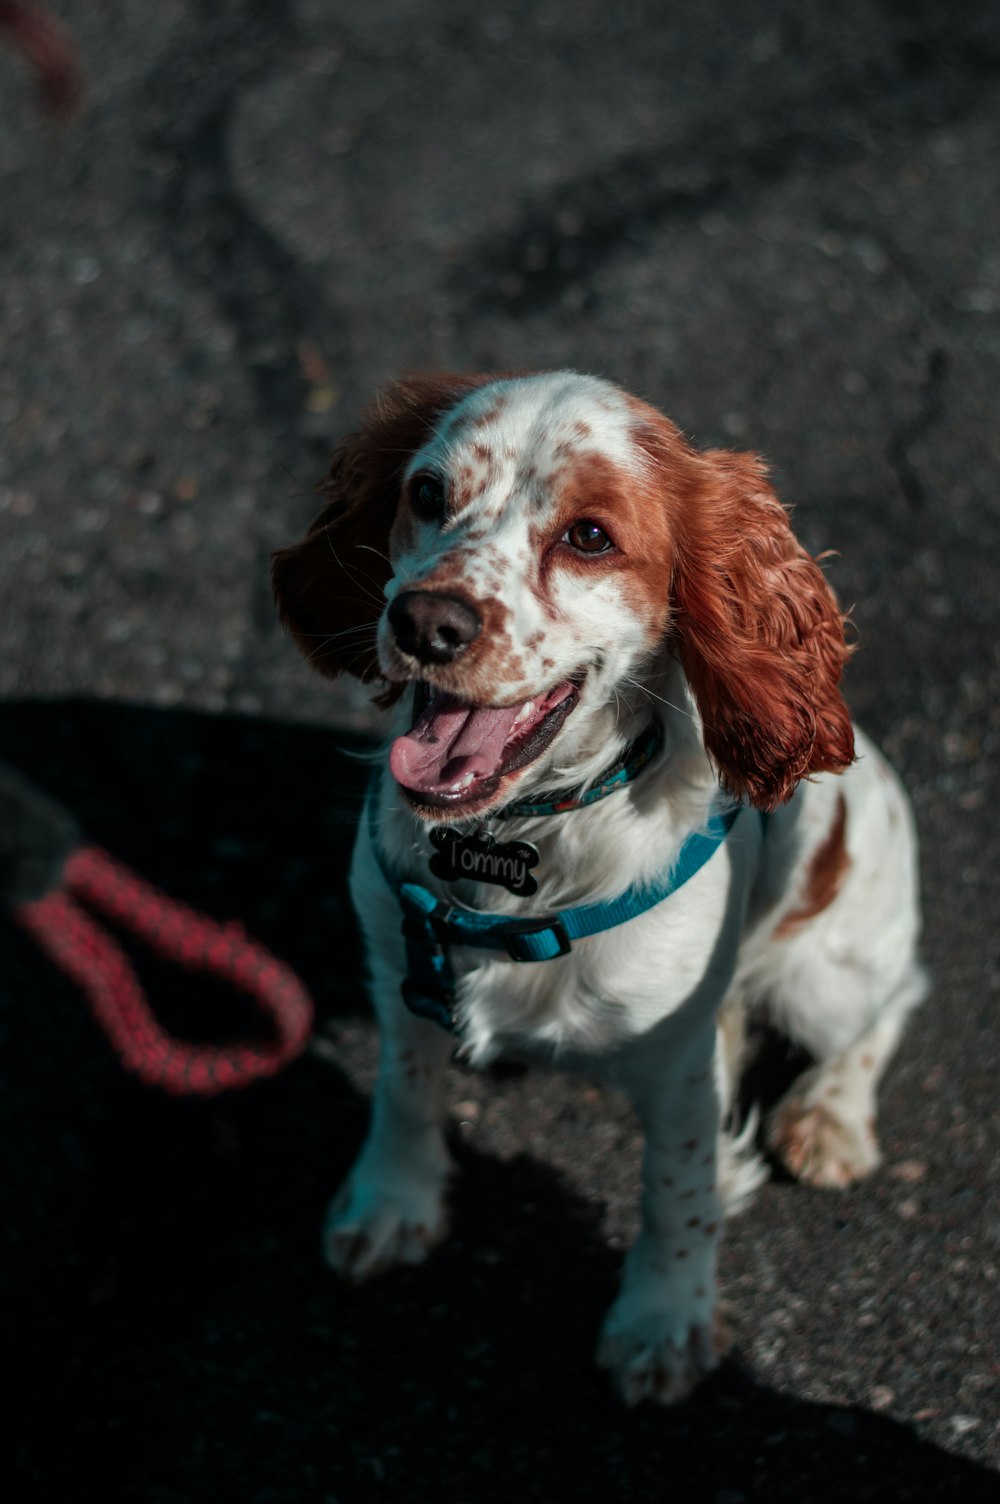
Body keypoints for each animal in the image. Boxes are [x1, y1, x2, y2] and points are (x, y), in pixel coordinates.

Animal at [269, 369, 926, 1401]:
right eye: (427, 493)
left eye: (588, 536)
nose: (424, 621)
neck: (515, 845)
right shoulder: (397, 967)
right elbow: (403, 1095)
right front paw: (390, 1203)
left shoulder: (680, 1062)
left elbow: (678, 1190)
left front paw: (662, 1320)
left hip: (828, 975)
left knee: (893, 1001)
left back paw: (831, 1117)